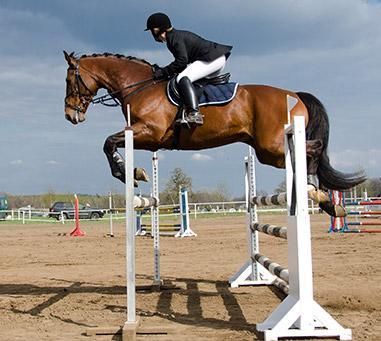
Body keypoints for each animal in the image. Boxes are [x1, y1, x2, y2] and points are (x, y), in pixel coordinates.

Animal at [63, 50, 366, 215]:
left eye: (69, 80)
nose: (69, 115)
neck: (139, 86)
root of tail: (295, 94)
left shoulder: (149, 132)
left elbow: (107, 142)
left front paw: (129, 172)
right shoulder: (146, 139)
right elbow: (111, 143)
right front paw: (133, 172)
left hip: (272, 148)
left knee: (313, 148)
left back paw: (316, 191)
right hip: (270, 151)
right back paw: (327, 201)